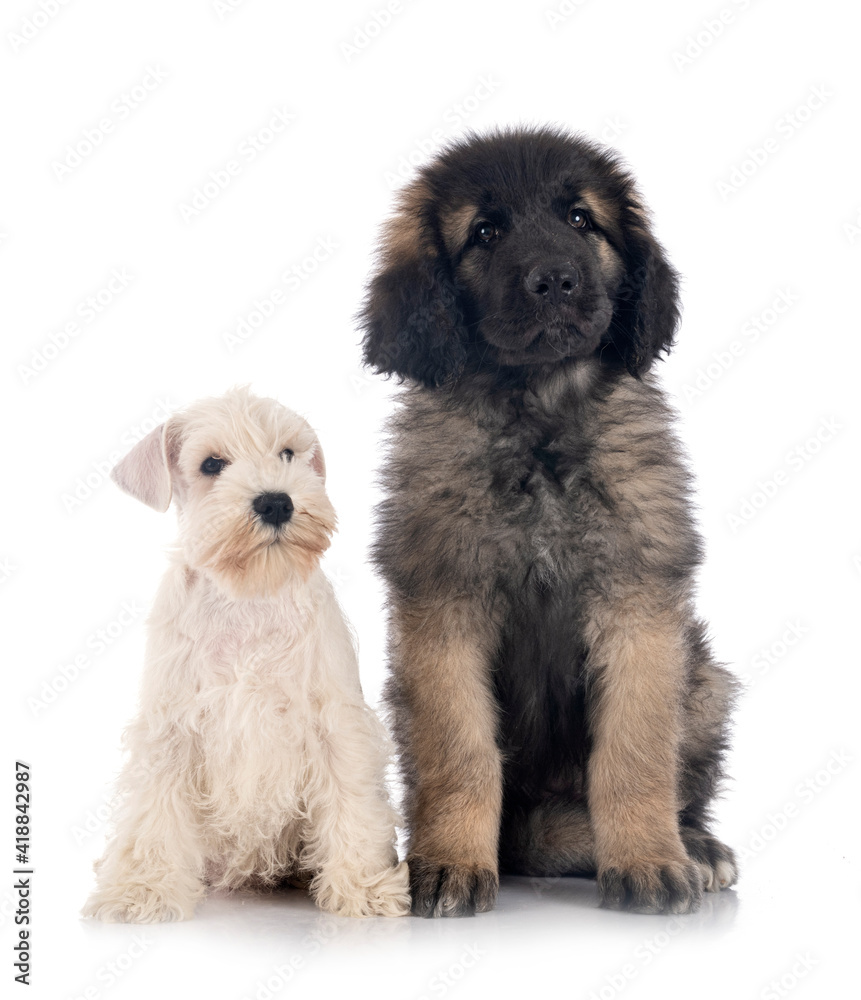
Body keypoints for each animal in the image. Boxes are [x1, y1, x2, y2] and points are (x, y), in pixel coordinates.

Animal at [83, 386, 410, 916]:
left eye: (287, 454)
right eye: (212, 464)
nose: (276, 502)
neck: (250, 598)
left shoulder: (336, 724)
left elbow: (353, 802)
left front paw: (365, 887)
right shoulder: (170, 730)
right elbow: (153, 813)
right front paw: (143, 888)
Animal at [360, 125, 736, 916]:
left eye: (580, 219)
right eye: (485, 233)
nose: (555, 279)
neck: (538, 418)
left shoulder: (637, 605)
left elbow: (633, 753)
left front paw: (650, 860)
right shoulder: (444, 608)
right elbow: (460, 753)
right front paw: (449, 862)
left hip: (706, 680)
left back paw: (694, 843)